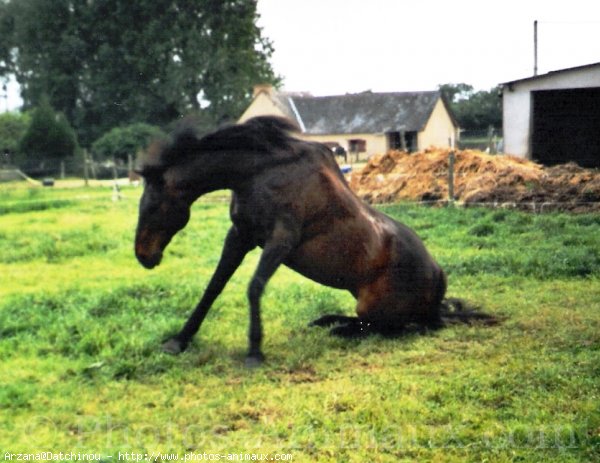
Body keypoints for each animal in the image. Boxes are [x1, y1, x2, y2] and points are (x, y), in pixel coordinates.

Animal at [136, 116, 492, 366]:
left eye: (152, 206)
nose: (143, 256)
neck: (260, 172)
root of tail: (437, 281)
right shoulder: (240, 235)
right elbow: (214, 286)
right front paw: (178, 341)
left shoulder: (281, 239)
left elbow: (254, 287)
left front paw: (254, 353)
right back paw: (326, 320)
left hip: (377, 308)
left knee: (390, 327)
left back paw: (339, 329)